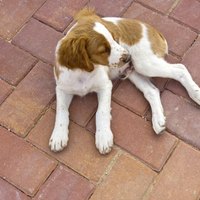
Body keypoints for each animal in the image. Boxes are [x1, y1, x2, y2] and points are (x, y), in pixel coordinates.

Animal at [49, 8, 200, 155]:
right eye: (103, 50)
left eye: (115, 38)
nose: (128, 57)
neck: (83, 72)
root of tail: (151, 29)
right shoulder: (62, 88)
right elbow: (61, 110)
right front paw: (58, 136)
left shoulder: (105, 86)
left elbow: (101, 111)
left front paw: (103, 137)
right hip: (133, 71)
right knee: (152, 91)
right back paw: (158, 120)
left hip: (145, 64)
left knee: (180, 69)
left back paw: (196, 94)